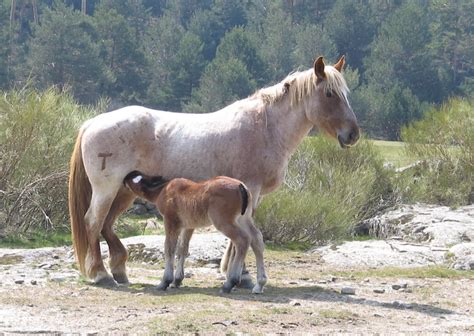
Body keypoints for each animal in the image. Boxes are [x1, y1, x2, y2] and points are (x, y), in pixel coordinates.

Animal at [68, 55, 360, 286]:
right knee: (93, 221)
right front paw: (241, 275)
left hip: (125, 191)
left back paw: (118, 270)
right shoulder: (250, 189)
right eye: (330, 94)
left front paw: (234, 272)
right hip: (106, 189)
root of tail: (93, 122)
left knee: (106, 224)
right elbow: (245, 234)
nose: (353, 134)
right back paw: (101, 274)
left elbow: (242, 233)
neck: (265, 127)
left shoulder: (247, 194)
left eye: (346, 94)